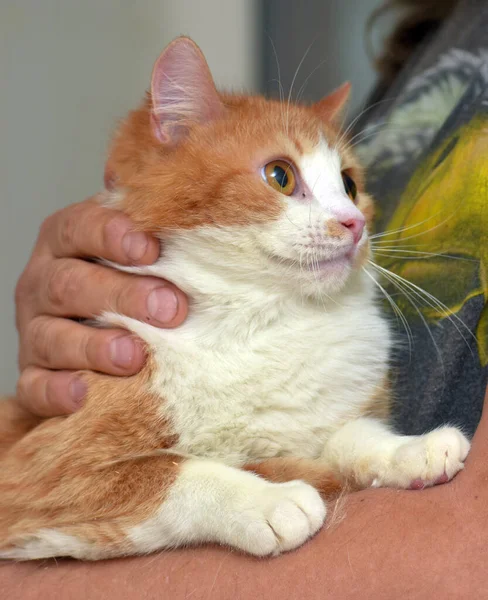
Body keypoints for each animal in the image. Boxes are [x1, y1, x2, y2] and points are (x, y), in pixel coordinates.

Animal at [0, 37, 472, 560]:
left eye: (349, 184)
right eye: (280, 176)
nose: (355, 223)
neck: (263, 320)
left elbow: (352, 434)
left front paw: (407, 449)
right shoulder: (39, 476)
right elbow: (170, 472)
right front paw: (266, 499)